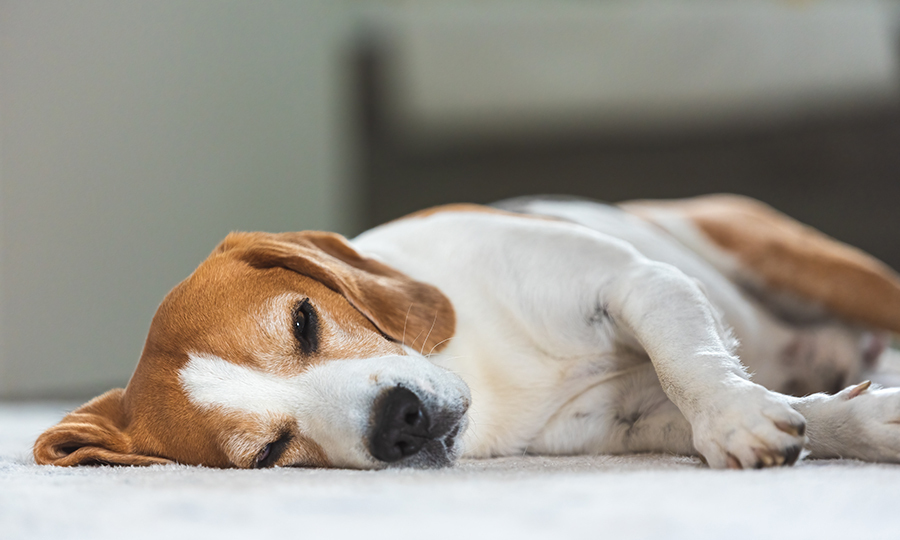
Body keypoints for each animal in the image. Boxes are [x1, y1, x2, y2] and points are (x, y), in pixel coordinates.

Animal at [37, 194, 900, 468]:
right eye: (270, 454)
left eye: (304, 321)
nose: (400, 422)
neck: (482, 371)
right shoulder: (628, 421)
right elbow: (805, 412)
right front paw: (857, 421)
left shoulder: (636, 284)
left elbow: (691, 363)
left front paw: (735, 415)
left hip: (801, 262)